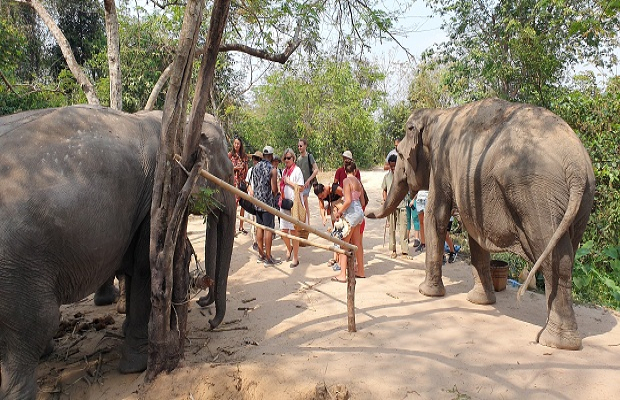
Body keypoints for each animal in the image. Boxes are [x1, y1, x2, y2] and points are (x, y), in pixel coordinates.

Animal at [368, 99, 596, 350]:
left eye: (399, 153)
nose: (367, 210)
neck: (438, 114)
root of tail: (575, 165)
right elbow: (475, 231)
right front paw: (479, 301)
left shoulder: (442, 164)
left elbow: (436, 215)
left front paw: (426, 292)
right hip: (582, 200)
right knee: (567, 258)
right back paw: (563, 341)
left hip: (538, 196)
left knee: (553, 258)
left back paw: (552, 341)